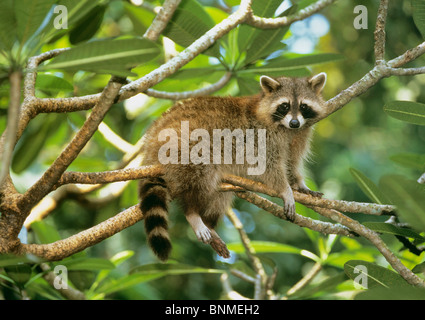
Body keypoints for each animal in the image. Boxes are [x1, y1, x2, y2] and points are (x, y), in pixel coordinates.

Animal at [137, 72, 326, 260]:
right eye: (284, 106)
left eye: (303, 106)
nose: (294, 122)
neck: (285, 128)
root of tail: (151, 139)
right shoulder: (261, 136)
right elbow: (268, 166)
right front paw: (285, 189)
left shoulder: (299, 135)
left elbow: (291, 163)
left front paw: (299, 185)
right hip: (183, 146)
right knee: (200, 176)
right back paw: (192, 212)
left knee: (219, 194)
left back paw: (209, 223)